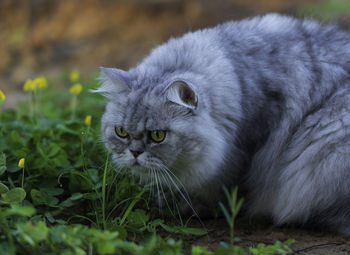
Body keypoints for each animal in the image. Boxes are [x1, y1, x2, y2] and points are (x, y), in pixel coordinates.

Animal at [93, 13, 350, 235]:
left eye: (158, 135)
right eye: (121, 132)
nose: (134, 152)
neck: (238, 79)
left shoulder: (249, 144)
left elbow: (226, 188)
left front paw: (190, 206)